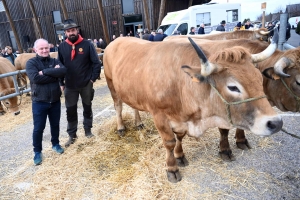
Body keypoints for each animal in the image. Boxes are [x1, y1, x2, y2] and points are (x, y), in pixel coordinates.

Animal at [104, 36, 282, 182]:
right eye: (233, 87)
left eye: (259, 78)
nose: (276, 123)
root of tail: (116, 40)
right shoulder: (159, 115)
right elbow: (169, 142)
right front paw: (172, 168)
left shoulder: (181, 120)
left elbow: (180, 137)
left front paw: (180, 155)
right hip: (111, 84)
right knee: (118, 106)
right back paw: (121, 127)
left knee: (132, 105)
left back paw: (138, 122)